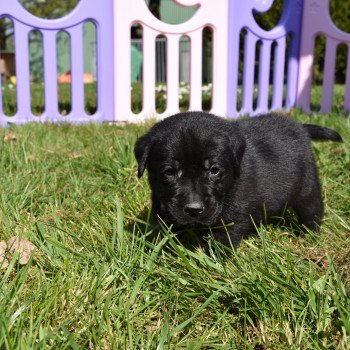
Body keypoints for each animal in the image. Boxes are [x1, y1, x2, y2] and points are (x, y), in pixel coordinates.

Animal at [135, 112, 342, 249]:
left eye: (214, 170)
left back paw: (311, 237)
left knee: (312, 211)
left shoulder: (232, 215)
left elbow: (221, 241)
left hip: (307, 187)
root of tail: (301, 127)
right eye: (169, 172)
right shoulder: (161, 204)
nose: (194, 209)